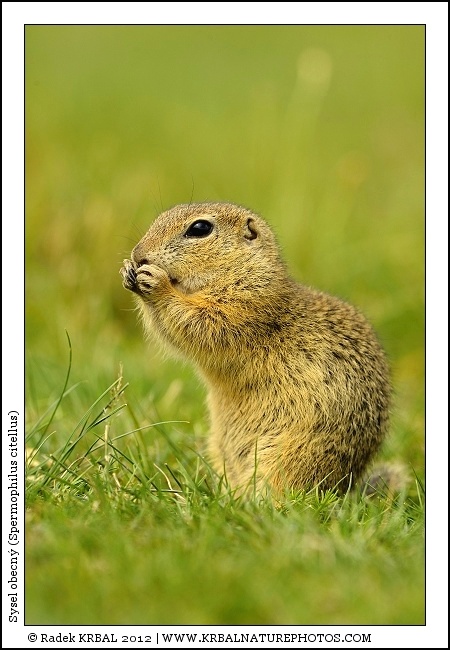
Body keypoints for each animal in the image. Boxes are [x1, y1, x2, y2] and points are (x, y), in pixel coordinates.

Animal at [120, 202, 392, 497]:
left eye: (200, 228)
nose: (138, 254)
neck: (242, 270)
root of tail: (343, 488)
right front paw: (127, 272)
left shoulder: (245, 304)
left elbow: (201, 322)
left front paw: (157, 283)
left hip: (288, 454)